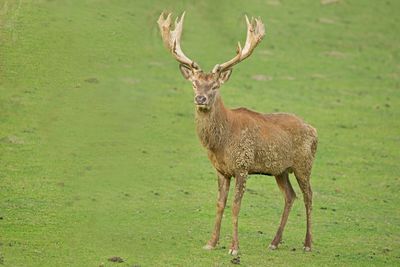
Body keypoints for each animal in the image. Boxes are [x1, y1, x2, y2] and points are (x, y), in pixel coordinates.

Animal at [158, 11, 318, 256]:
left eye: (215, 86)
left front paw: (234, 248)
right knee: (290, 196)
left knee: (309, 196)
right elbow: (219, 205)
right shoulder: (221, 171)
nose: (200, 98)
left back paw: (308, 244)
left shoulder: (243, 166)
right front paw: (211, 242)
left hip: (304, 164)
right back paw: (274, 242)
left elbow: (235, 206)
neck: (221, 143)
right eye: (194, 83)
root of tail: (314, 130)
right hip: (281, 170)